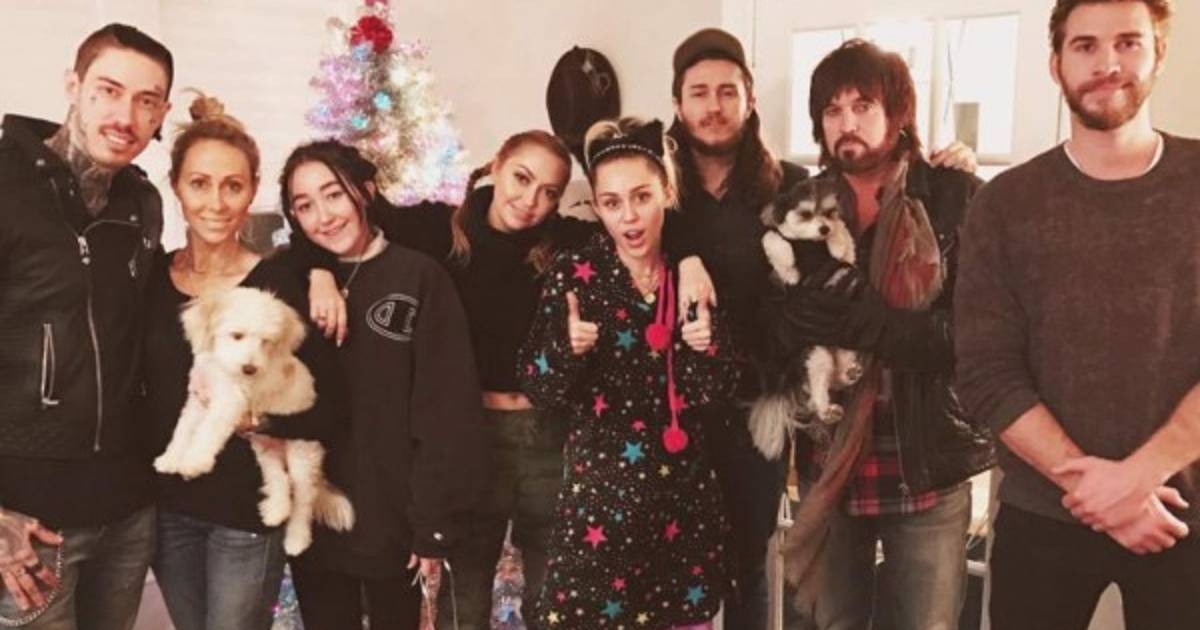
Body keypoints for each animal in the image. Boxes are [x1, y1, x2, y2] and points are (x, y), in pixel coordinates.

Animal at [153, 287, 354, 555]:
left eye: (266, 341)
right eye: (237, 335)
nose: (250, 368)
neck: (221, 366)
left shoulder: (228, 403)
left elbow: (208, 432)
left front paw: (194, 461)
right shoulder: (197, 401)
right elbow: (183, 431)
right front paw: (171, 458)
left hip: (302, 454)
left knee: (303, 501)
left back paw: (296, 540)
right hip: (264, 448)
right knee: (279, 481)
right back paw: (274, 512)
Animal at [749, 178, 863, 460]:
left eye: (829, 213)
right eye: (806, 214)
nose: (823, 228)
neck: (811, 245)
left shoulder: (846, 260)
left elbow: (844, 242)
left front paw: (836, 241)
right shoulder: (775, 244)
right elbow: (772, 237)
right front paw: (789, 267)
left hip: (843, 342)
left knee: (837, 376)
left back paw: (850, 372)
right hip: (817, 355)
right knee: (819, 391)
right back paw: (827, 408)